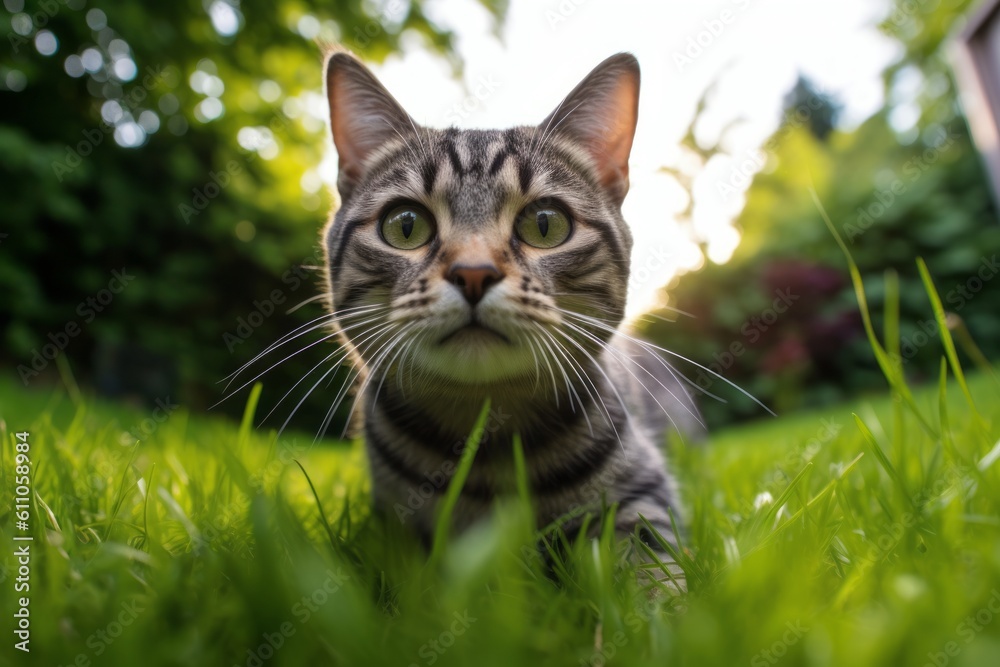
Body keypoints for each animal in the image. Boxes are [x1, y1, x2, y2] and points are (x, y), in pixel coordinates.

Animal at [324, 51, 700, 584]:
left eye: (545, 224)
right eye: (405, 225)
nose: (473, 273)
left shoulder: (643, 492)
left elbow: (650, 563)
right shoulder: (392, 524)